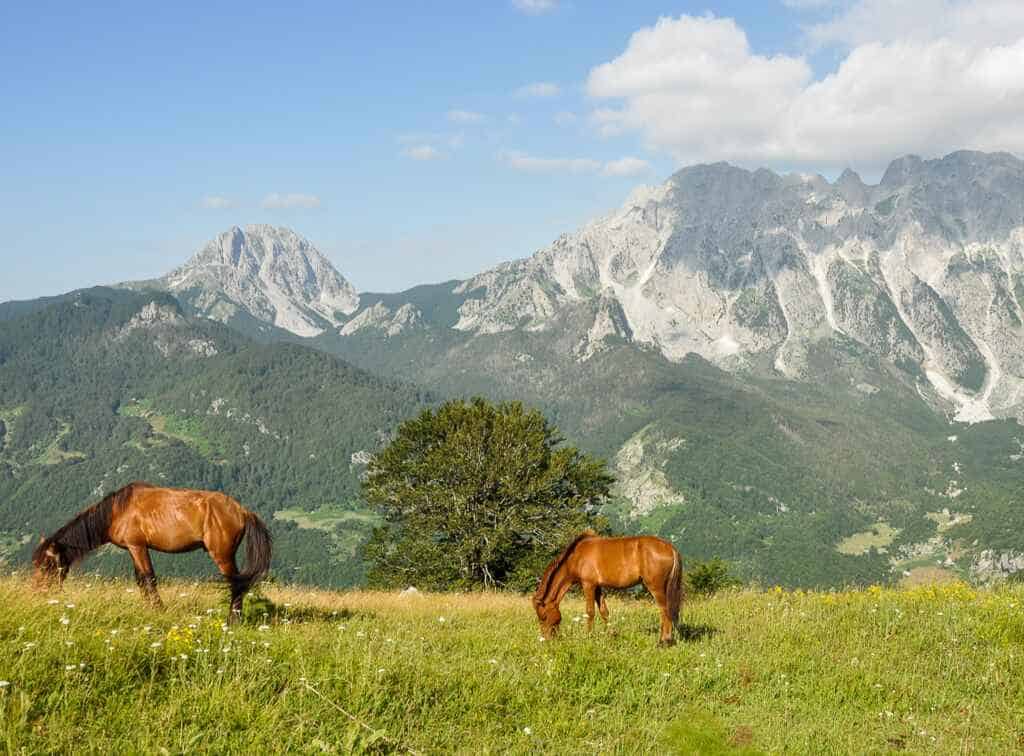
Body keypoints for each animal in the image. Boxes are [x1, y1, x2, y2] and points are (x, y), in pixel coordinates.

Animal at [33, 481, 272, 618]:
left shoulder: (137, 546)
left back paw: (232, 620)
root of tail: (242, 511)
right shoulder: (133, 549)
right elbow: (141, 580)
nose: (38, 592)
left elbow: (149, 578)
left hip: (222, 555)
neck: (117, 510)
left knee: (237, 584)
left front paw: (159, 610)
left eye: (46, 565)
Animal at [532, 530, 683, 646]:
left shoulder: (588, 585)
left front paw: (588, 636)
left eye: (543, 617)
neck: (576, 556)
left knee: (665, 611)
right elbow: (604, 611)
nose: (546, 639)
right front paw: (611, 634)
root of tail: (670, 547)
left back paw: (664, 641)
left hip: (656, 587)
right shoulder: (598, 587)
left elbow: (590, 612)